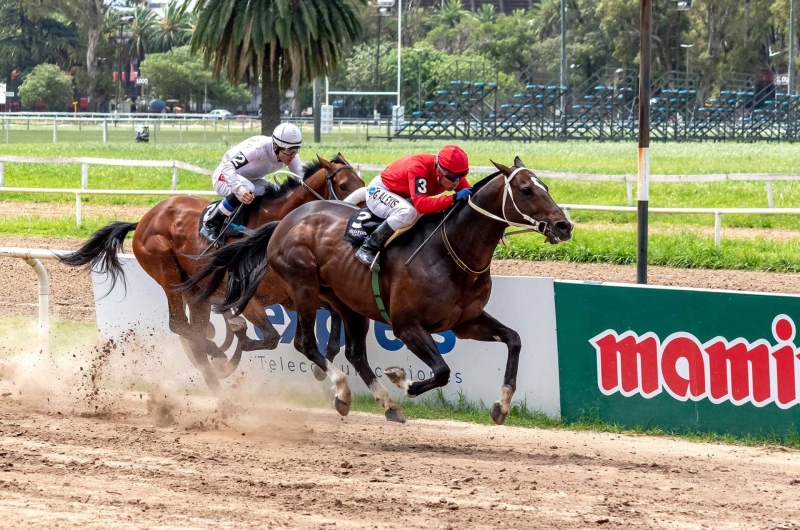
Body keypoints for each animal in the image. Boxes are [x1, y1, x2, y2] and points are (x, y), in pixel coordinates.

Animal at [57, 153, 364, 392]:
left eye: (363, 183)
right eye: (343, 185)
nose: (358, 222)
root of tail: (145, 218)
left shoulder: (294, 295)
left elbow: (333, 315)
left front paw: (324, 363)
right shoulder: (247, 297)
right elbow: (269, 337)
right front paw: (234, 341)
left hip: (197, 291)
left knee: (194, 330)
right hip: (168, 274)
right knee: (181, 326)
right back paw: (217, 357)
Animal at [186, 156, 576, 420]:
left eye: (545, 186)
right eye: (526, 190)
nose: (564, 225)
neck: (451, 251)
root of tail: (285, 221)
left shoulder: (465, 322)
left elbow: (514, 339)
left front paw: (501, 404)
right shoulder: (407, 325)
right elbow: (442, 371)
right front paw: (402, 379)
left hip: (347, 303)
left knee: (355, 353)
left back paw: (385, 403)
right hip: (304, 286)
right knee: (305, 343)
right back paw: (343, 392)